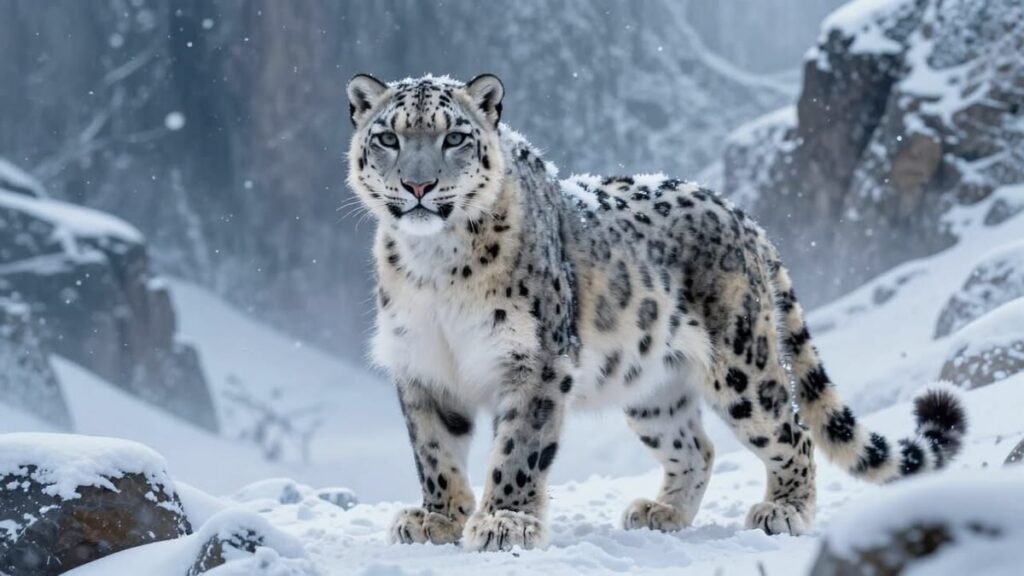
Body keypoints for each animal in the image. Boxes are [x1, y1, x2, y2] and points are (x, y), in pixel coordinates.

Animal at [345, 73, 968, 552]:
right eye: (387, 138)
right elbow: (434, 449)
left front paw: (505, 521)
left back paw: (783, 511)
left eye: (454, 136)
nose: (418, 184)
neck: (434, 268)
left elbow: (519, 446)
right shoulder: (422, 363)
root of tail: (742, 215)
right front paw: (437, 518)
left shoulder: (536, 361)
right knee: (696, 446)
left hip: (743, 364)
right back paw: (663, 512)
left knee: (791, 429)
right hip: (653, 388)